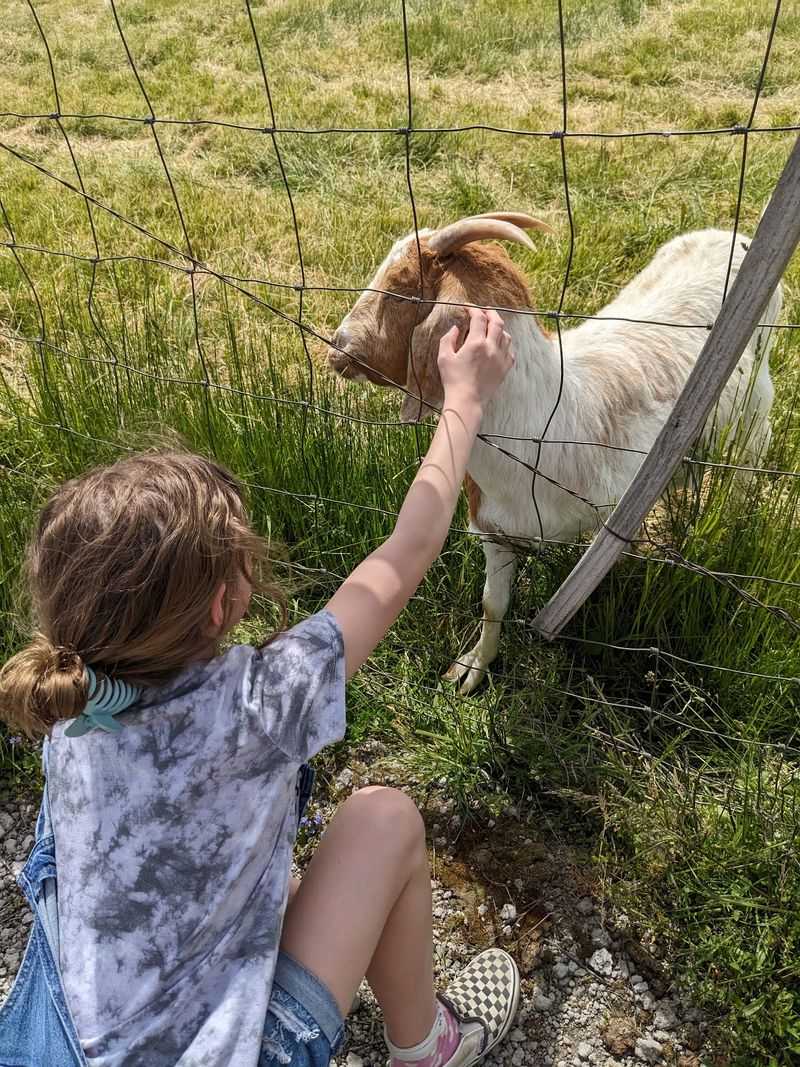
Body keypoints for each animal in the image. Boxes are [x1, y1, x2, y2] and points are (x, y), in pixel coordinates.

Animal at [328, 212, 782, 694]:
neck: (545, 420)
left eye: (401, 286)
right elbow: (492, 603)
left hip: (753, 424)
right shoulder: (494, 528)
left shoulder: (616, 516)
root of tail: (730, 236)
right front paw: (474, 668)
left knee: (744, 475)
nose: (337, 347)